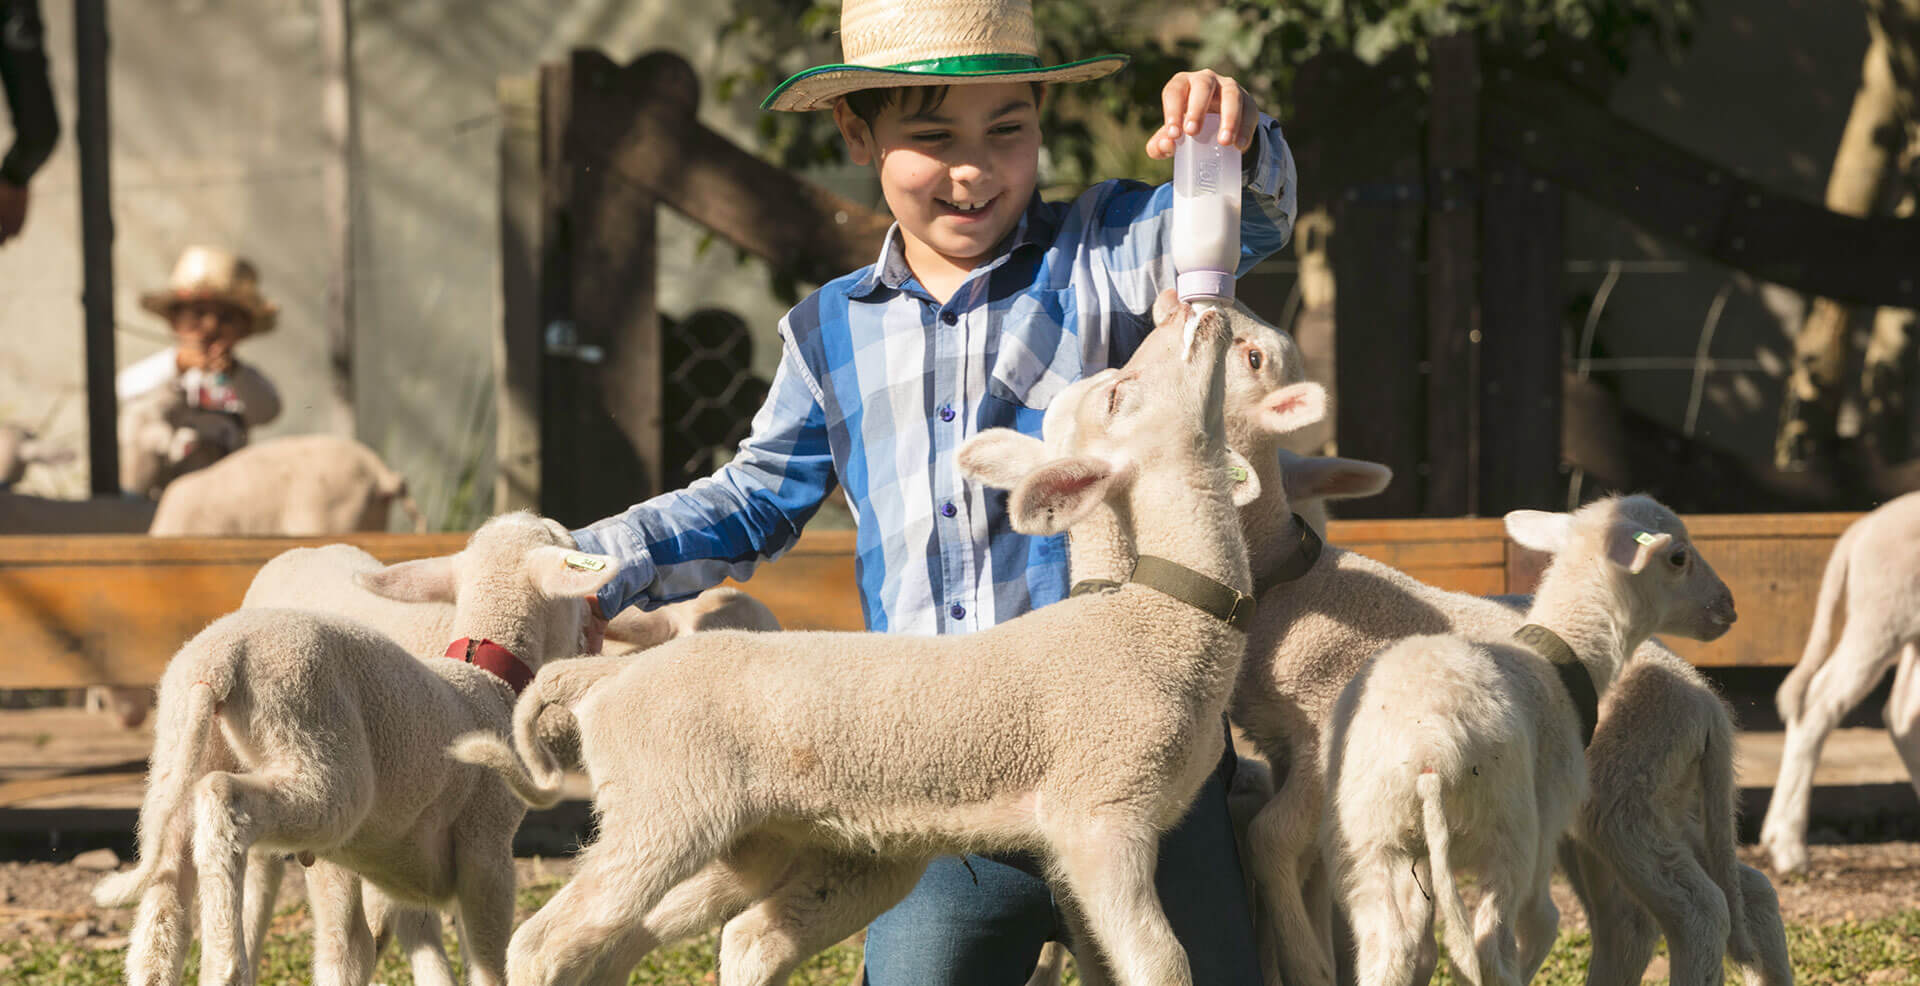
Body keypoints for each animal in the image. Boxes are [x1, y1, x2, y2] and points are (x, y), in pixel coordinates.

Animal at [91, 510, 614, 982]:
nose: (593, 631)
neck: (485, 679)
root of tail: (219, 663)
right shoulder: (487, 845)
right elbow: (487, 959)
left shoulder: (353, 863)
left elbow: (348, 951)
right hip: (322, 758)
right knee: (224, 800)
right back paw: (224, 961)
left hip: (182, 751)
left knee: (168, 889)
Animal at [1320, 494, 1743, 982]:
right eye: (1678, 557)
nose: (1728, 607)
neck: (1559, 657)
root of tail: (1428, 755)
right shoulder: (1549, 820)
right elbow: (1540, 924)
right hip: (1508, 834)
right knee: (1495, 943)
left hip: (1370, 841)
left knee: (1388, 950)